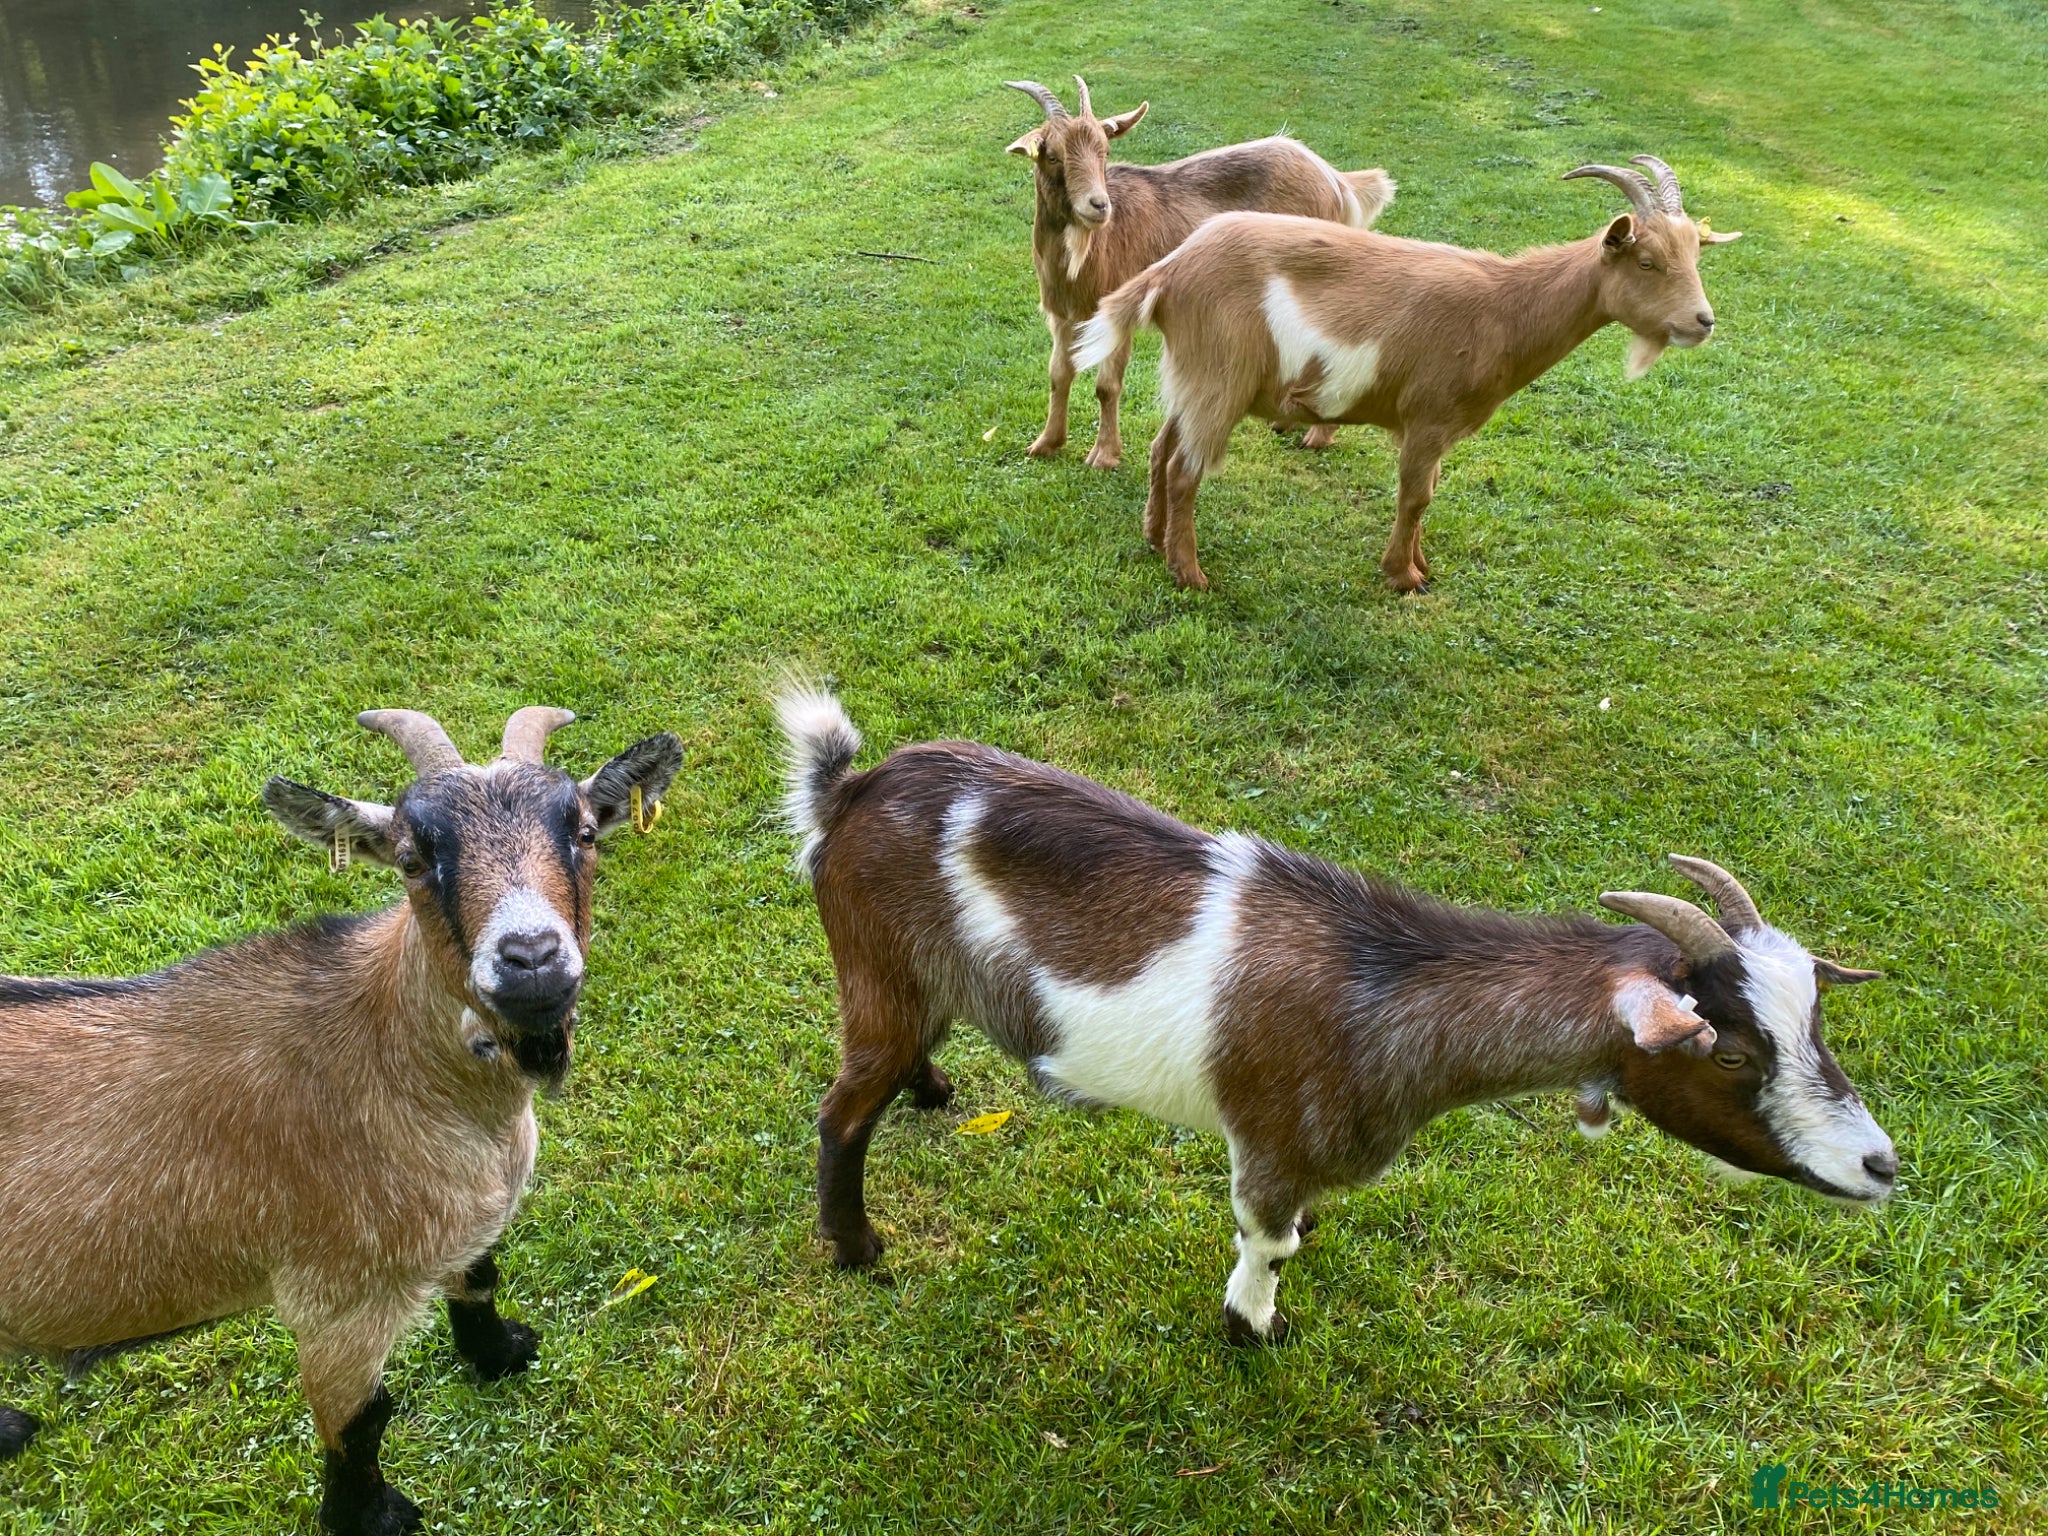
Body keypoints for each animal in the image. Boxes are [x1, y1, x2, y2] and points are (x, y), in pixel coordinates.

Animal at [0, 707, 681, 1535]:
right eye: (411, 860)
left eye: (584, 832)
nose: (532, 957)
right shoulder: (333, 1298)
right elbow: (362, 1420)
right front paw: (373, 1517)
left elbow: (480, 1276)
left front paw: (500, 1353)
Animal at [778, 686, 1894, 1345]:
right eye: (1729, 1052)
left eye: (1816, 1028)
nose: (1881, 1166)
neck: (1385, 992)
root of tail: (848, 791)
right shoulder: (1269, 1144)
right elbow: (1265, 1243)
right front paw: (1253, 1327)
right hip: (873, 973)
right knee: (842, 1113)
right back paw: (857, 1246)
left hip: (914, 985)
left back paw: (933, 1088)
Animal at [1006, 76, 1394, 469]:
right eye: (1052, 155)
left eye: (1105, 152)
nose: (1099, 205)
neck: (1087, 253)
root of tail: (1337, 182)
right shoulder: (1061, 314)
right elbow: (1059, 374)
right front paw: (1046, 443)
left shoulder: (1115, 310)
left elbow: (1106, 386)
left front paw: (1104, 455)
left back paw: (1317, 436)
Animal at [1071, 155, 1741, 591]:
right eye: (1648, 262)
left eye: (1694, 256)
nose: (1703, 321)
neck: (1505, 308)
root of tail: (1169, 271)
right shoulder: (1429, 417)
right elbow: (1416, 495)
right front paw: (1403, 577)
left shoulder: (1438, 430)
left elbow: (1430, 493)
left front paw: (1421, 567)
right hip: (1220, 376)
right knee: (1185, 469)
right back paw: (1191, 574)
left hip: (1193, 377)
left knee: (1162, 448)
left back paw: (1155, 540)